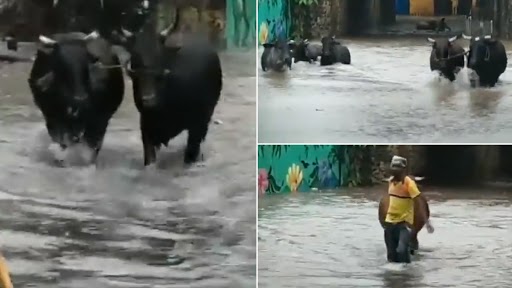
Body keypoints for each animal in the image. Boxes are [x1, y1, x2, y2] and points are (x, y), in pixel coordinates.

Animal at [28, 31, 125, 163]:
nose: (80, 98)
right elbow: (62, 140)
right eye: (60, 63)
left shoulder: (100, 119)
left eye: (86, 63)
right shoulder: (52, 117)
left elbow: (91, 145)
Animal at [115, 14, 222, 165]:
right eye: (135, 55)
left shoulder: (197, 121)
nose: (148, 99)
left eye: (159, 55)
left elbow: (191, 149)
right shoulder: (146, 125)